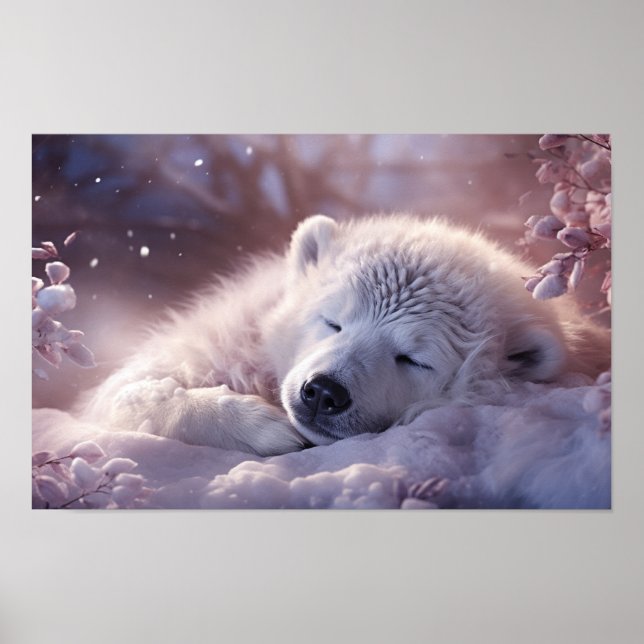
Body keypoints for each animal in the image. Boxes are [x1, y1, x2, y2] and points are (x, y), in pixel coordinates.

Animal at [83, 214, 610, 456]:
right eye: (332, 321)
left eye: (414, 358)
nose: (322, 392)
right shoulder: (231, 333)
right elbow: (125, 390)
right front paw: (264, 426)